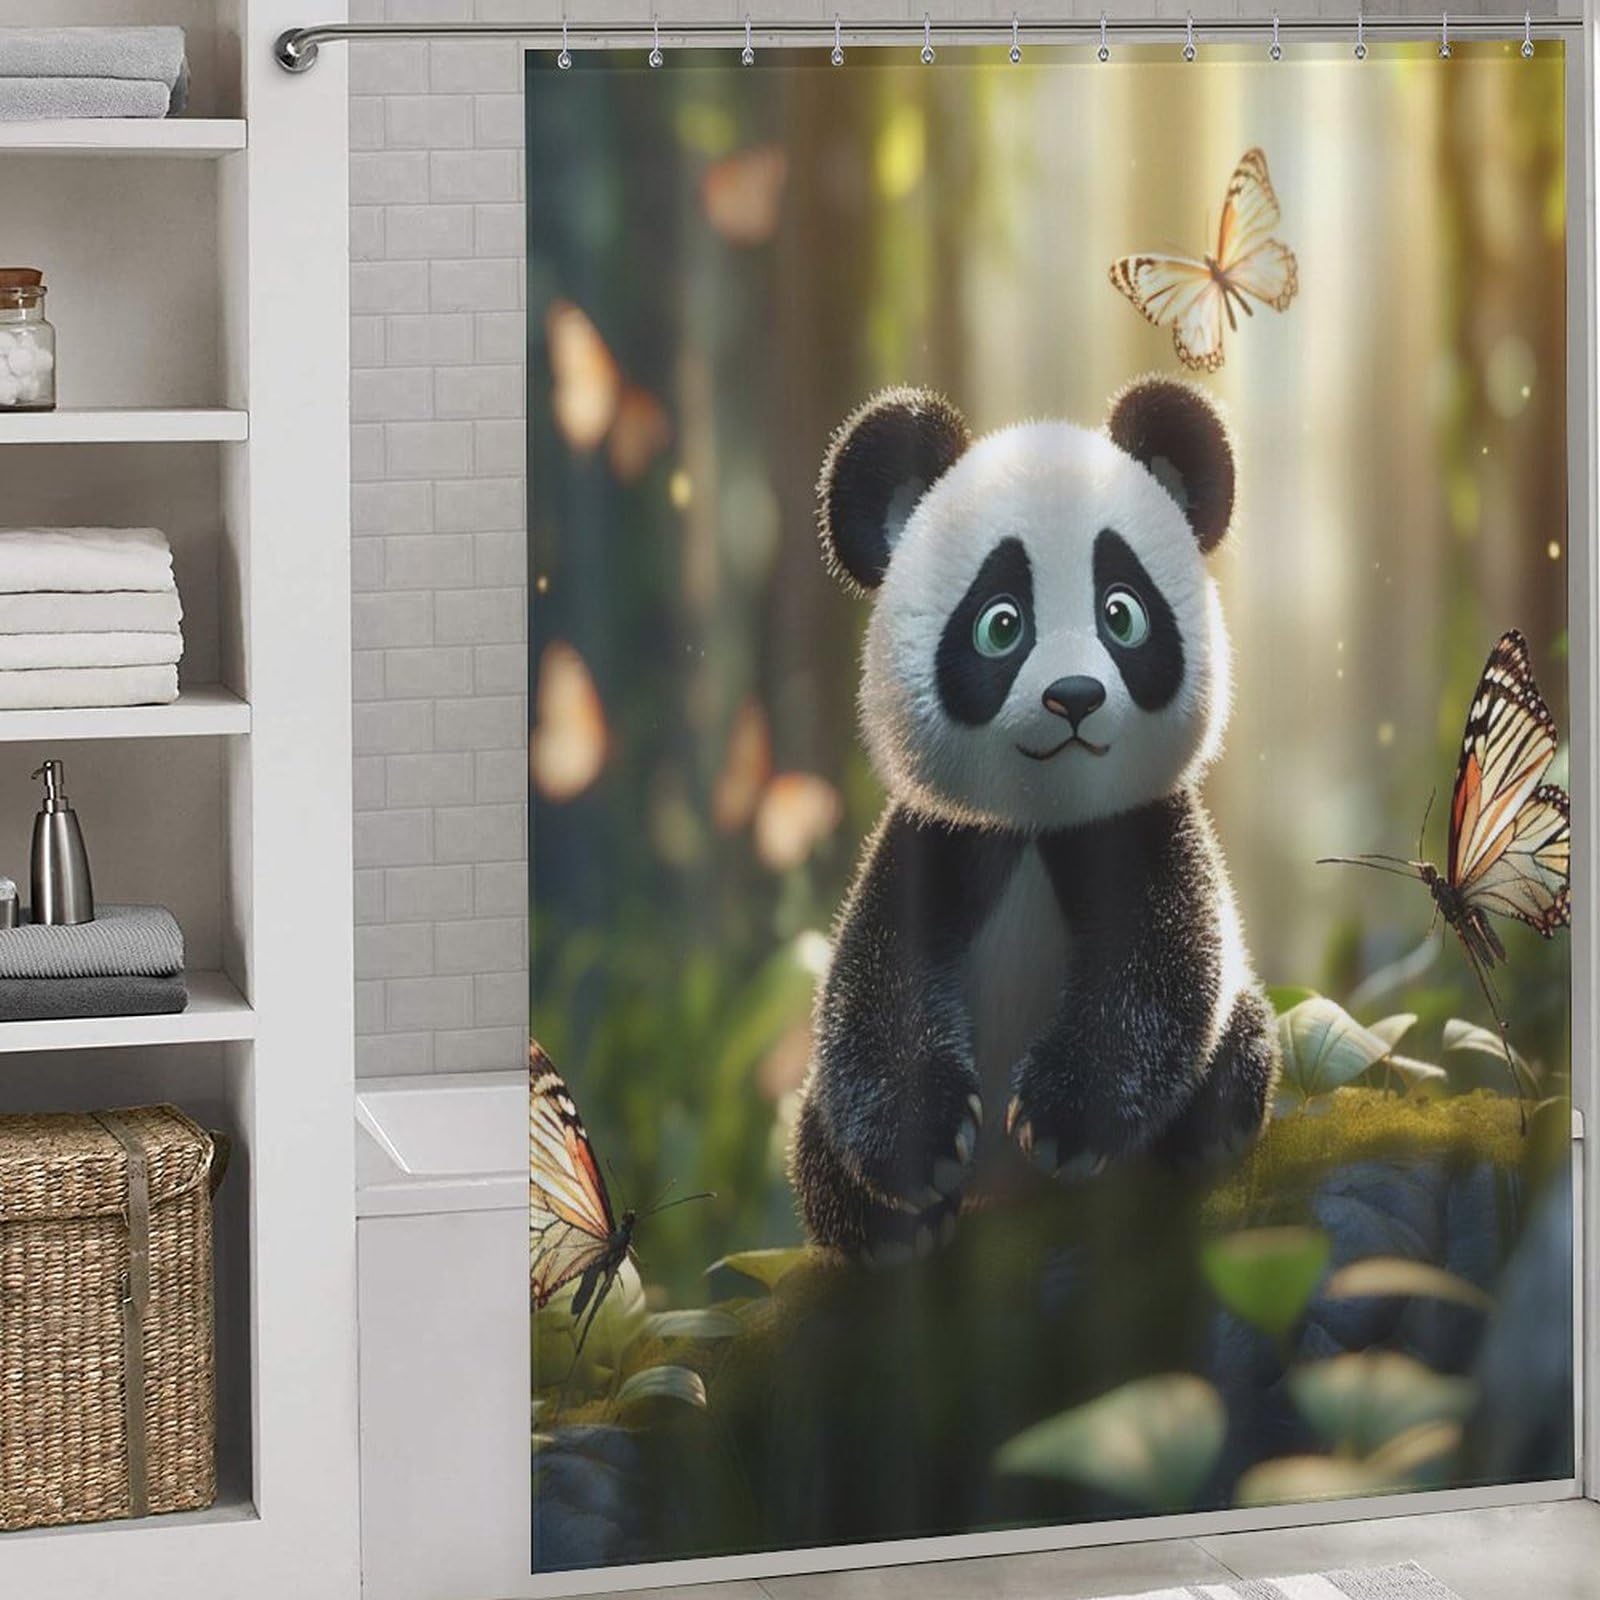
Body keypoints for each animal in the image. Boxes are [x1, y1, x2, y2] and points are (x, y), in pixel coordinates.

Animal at [788, 376, 1280, 1260]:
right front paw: (921, 1151)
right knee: (817, 1135)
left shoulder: (1142, 826)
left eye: (1123, 614)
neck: (1041, 821)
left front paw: (1062, 1118)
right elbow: (875, 986)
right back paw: (889, 1226)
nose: (1074, 697)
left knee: (1240, 1032)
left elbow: (1165, 968)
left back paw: (1207, 1125)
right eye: (1001, 623)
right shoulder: (936, 838)